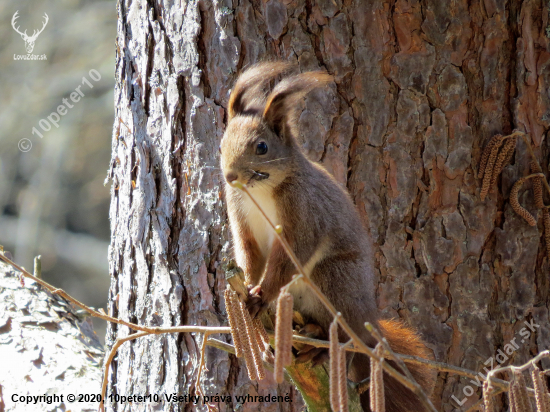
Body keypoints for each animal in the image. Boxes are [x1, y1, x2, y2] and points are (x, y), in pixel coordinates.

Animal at [220, 61, 436, 412]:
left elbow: (290, 257)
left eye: (262, 147)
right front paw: (246, 293)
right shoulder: (240, 216)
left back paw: (320, 348)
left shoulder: (304, 214)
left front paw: (261, 294)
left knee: (344, 339)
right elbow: (249, 255)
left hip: (333, 278)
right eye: (221, 144)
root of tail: (367, 319)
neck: (260, 192)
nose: (230, 176)